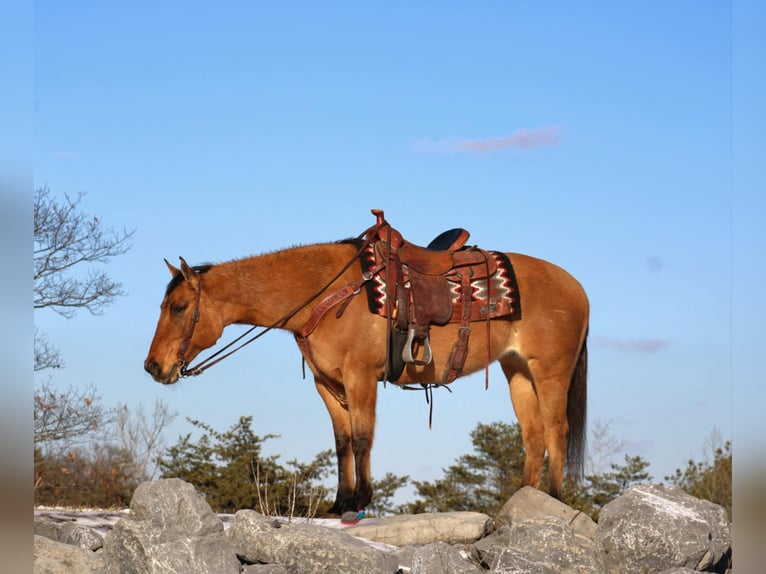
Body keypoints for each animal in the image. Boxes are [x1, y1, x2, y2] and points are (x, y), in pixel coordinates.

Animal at [144, 209, 592, 516]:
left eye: (179, 307)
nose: (153, 367)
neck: (329, 291)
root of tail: (578, 288)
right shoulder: (327, 385)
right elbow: (342, 442)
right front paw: (340, 503)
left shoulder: (360, 378)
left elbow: (362, 438)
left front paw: (360, 500)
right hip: (517, 371)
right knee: (534, 436)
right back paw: (522, 502)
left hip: (550, 371)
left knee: (556, 430)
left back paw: (553, 500)